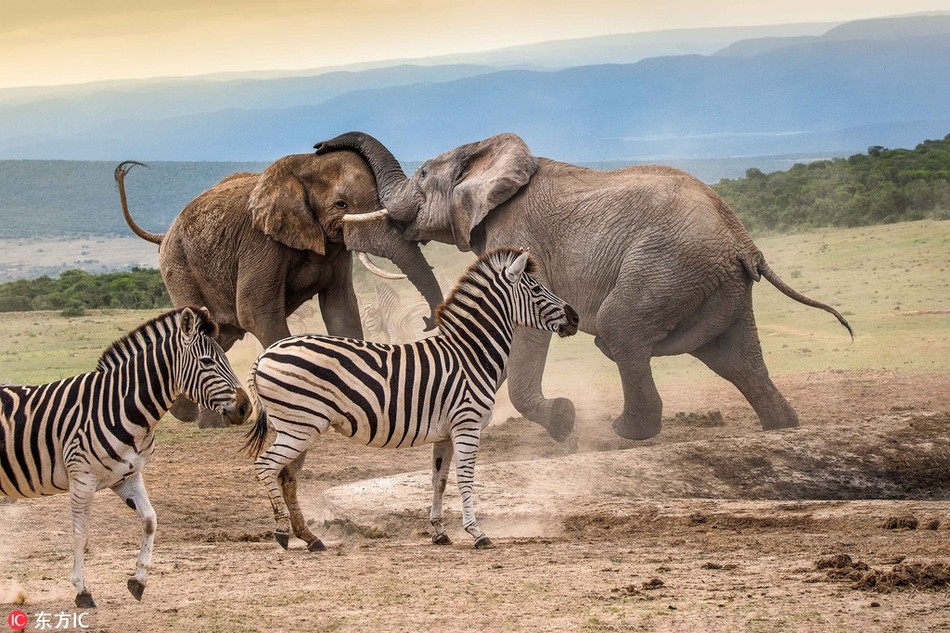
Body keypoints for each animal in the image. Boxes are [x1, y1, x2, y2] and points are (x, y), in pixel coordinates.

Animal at [0, 306, 251, 608]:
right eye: (206, 362)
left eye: (225, 358)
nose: (246, 408)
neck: (122, 406)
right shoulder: (82, 477)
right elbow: (81, 533)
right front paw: (82, 590)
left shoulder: (127, 477)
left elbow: (150, 520)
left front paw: (138, 580)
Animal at [116, 149, 446, 424]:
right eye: (341, 204)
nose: (426, 320)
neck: (304, 166)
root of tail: (165, 233)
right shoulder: (259, 242)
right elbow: (256, 313)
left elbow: (340, 307)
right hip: (178, 266)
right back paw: (202, 419)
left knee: (221, 335)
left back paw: (192, 416)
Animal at [244, 249, 580, 552]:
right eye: (537, 289)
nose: (575, 318)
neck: (470, 355)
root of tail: (265, 354)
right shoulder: (467, 425)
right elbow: (465, 478)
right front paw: (476, 533)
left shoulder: (446, 433)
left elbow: (439, 479)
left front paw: (439, 532)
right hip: (299, 426)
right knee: (266, 465)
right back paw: (282, 532)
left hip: (297, 426)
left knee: (287, 476)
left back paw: (310, 538)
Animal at [314, 131, 856, 442]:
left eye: (424, 174)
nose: (320, 146)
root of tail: (744, 241)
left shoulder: (517, 237)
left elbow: (526, 335)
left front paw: (563, 423)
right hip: (715, 284)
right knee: (734, 357)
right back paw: (782, 427)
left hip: (667, 266)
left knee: (621, 336)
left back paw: (627, 432)